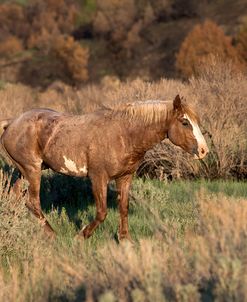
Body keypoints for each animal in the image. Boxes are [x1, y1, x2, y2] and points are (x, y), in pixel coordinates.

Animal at [0, 95, 208, 242]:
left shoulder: (125, 177)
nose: (204, 150)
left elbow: (123, 207)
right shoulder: (98, 178)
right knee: (33, 201)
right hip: (32, 171)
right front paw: (81, 236)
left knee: (15, 197)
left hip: (25, 172)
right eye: (184, 122)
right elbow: (102, 212)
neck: (124, 133)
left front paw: (125, 239)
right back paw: (52, 235)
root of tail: (11, 123)